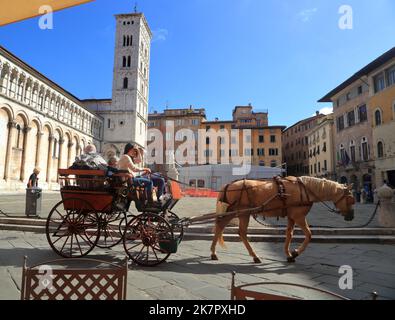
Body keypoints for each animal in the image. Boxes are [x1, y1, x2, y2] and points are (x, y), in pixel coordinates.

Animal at [212, 176, 358, 264]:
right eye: (351, 199)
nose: (351, 216)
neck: (306, 190)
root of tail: (228, 184)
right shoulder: (299, 216)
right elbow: (309, 234)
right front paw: (295, 253)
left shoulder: (291, 217)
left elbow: (289, 234)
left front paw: (288, 255)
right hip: (242, 213)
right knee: (238, 231)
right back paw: (253, 256)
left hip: (235, 213)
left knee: (222, 227)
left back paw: (215, 252)